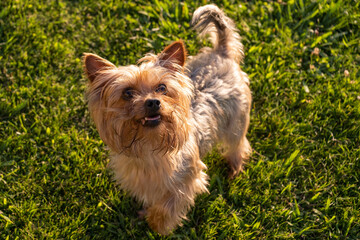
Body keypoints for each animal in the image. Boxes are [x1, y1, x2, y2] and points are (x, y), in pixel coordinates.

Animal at [83, 4, 252, 234]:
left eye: (162, 88)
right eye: (127, 93)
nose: (153, 102)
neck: (150, 144)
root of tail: (221, 52)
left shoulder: (188, 179)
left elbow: (167, 207)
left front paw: (157, 226)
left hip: (237, 119)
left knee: (238, 145)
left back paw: (234, 169)